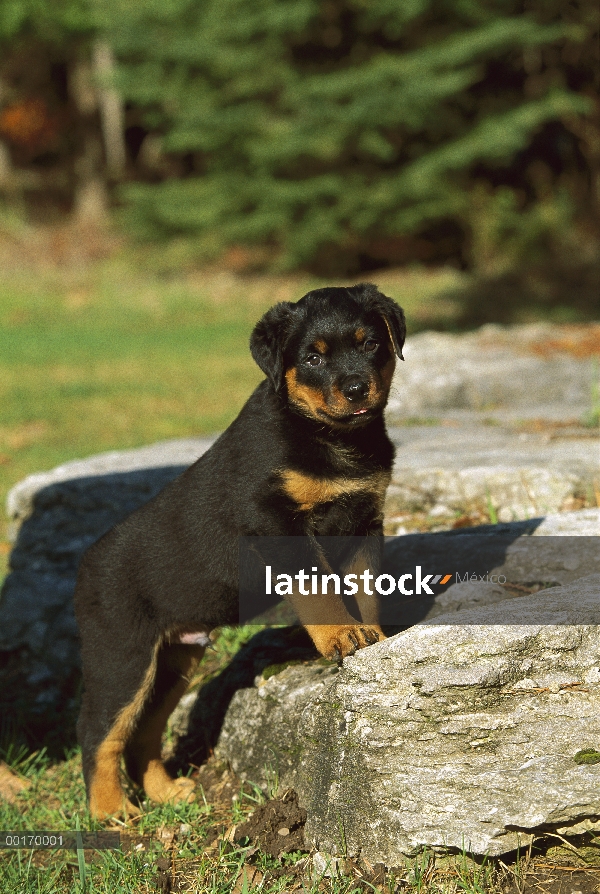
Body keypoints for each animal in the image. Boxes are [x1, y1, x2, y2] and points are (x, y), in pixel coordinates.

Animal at [72, 282, 406, 820]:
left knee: (144, 728)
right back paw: (111, 811)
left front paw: (373, 635)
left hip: (174, 661)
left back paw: (165, 792)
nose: (356, 388)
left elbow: (366, 589)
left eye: (371, 344)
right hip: (121, 652)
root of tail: (85, 564)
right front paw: (341, 635)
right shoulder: (277, 523)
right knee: (99, 731)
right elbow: (319, 586)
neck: (330, 437)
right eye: (313, 357)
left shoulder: (364, 521)